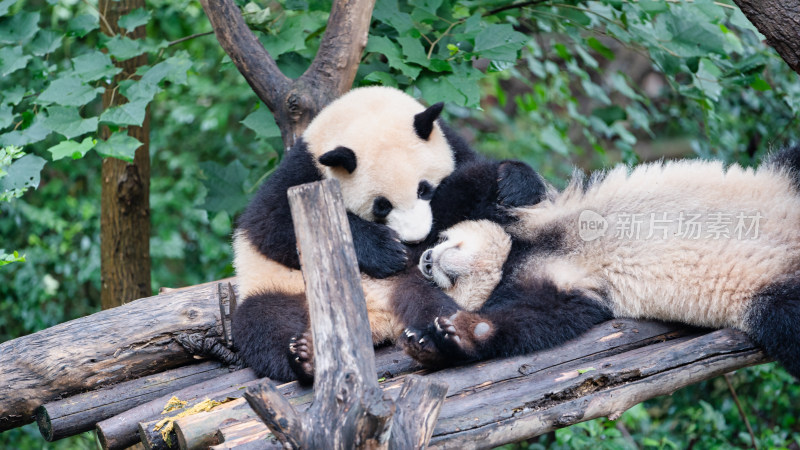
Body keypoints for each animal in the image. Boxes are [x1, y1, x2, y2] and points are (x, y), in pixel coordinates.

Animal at [231, 87, 544, 384]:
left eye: (424, 189)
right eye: (382, 206)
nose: (416, 239)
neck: (362, 110)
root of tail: (376, 318)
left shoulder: (452, 147)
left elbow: (467, 182)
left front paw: (513, 182)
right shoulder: (301, 171)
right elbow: (270, 224)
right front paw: (386, 251)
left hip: (415, 286)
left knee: (432, 307)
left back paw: (436, 342)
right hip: (284, 291)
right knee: (263, 324)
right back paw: (308, 359)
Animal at [406, 145, 800, 380]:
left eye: (444, 242)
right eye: (444, 282)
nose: (427, 262)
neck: (515, 253)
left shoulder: (522, 220)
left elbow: (461, 190)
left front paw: (512, 183)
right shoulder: (564, 286)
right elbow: (535, 320)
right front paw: (452, 337)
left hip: (785, 179)